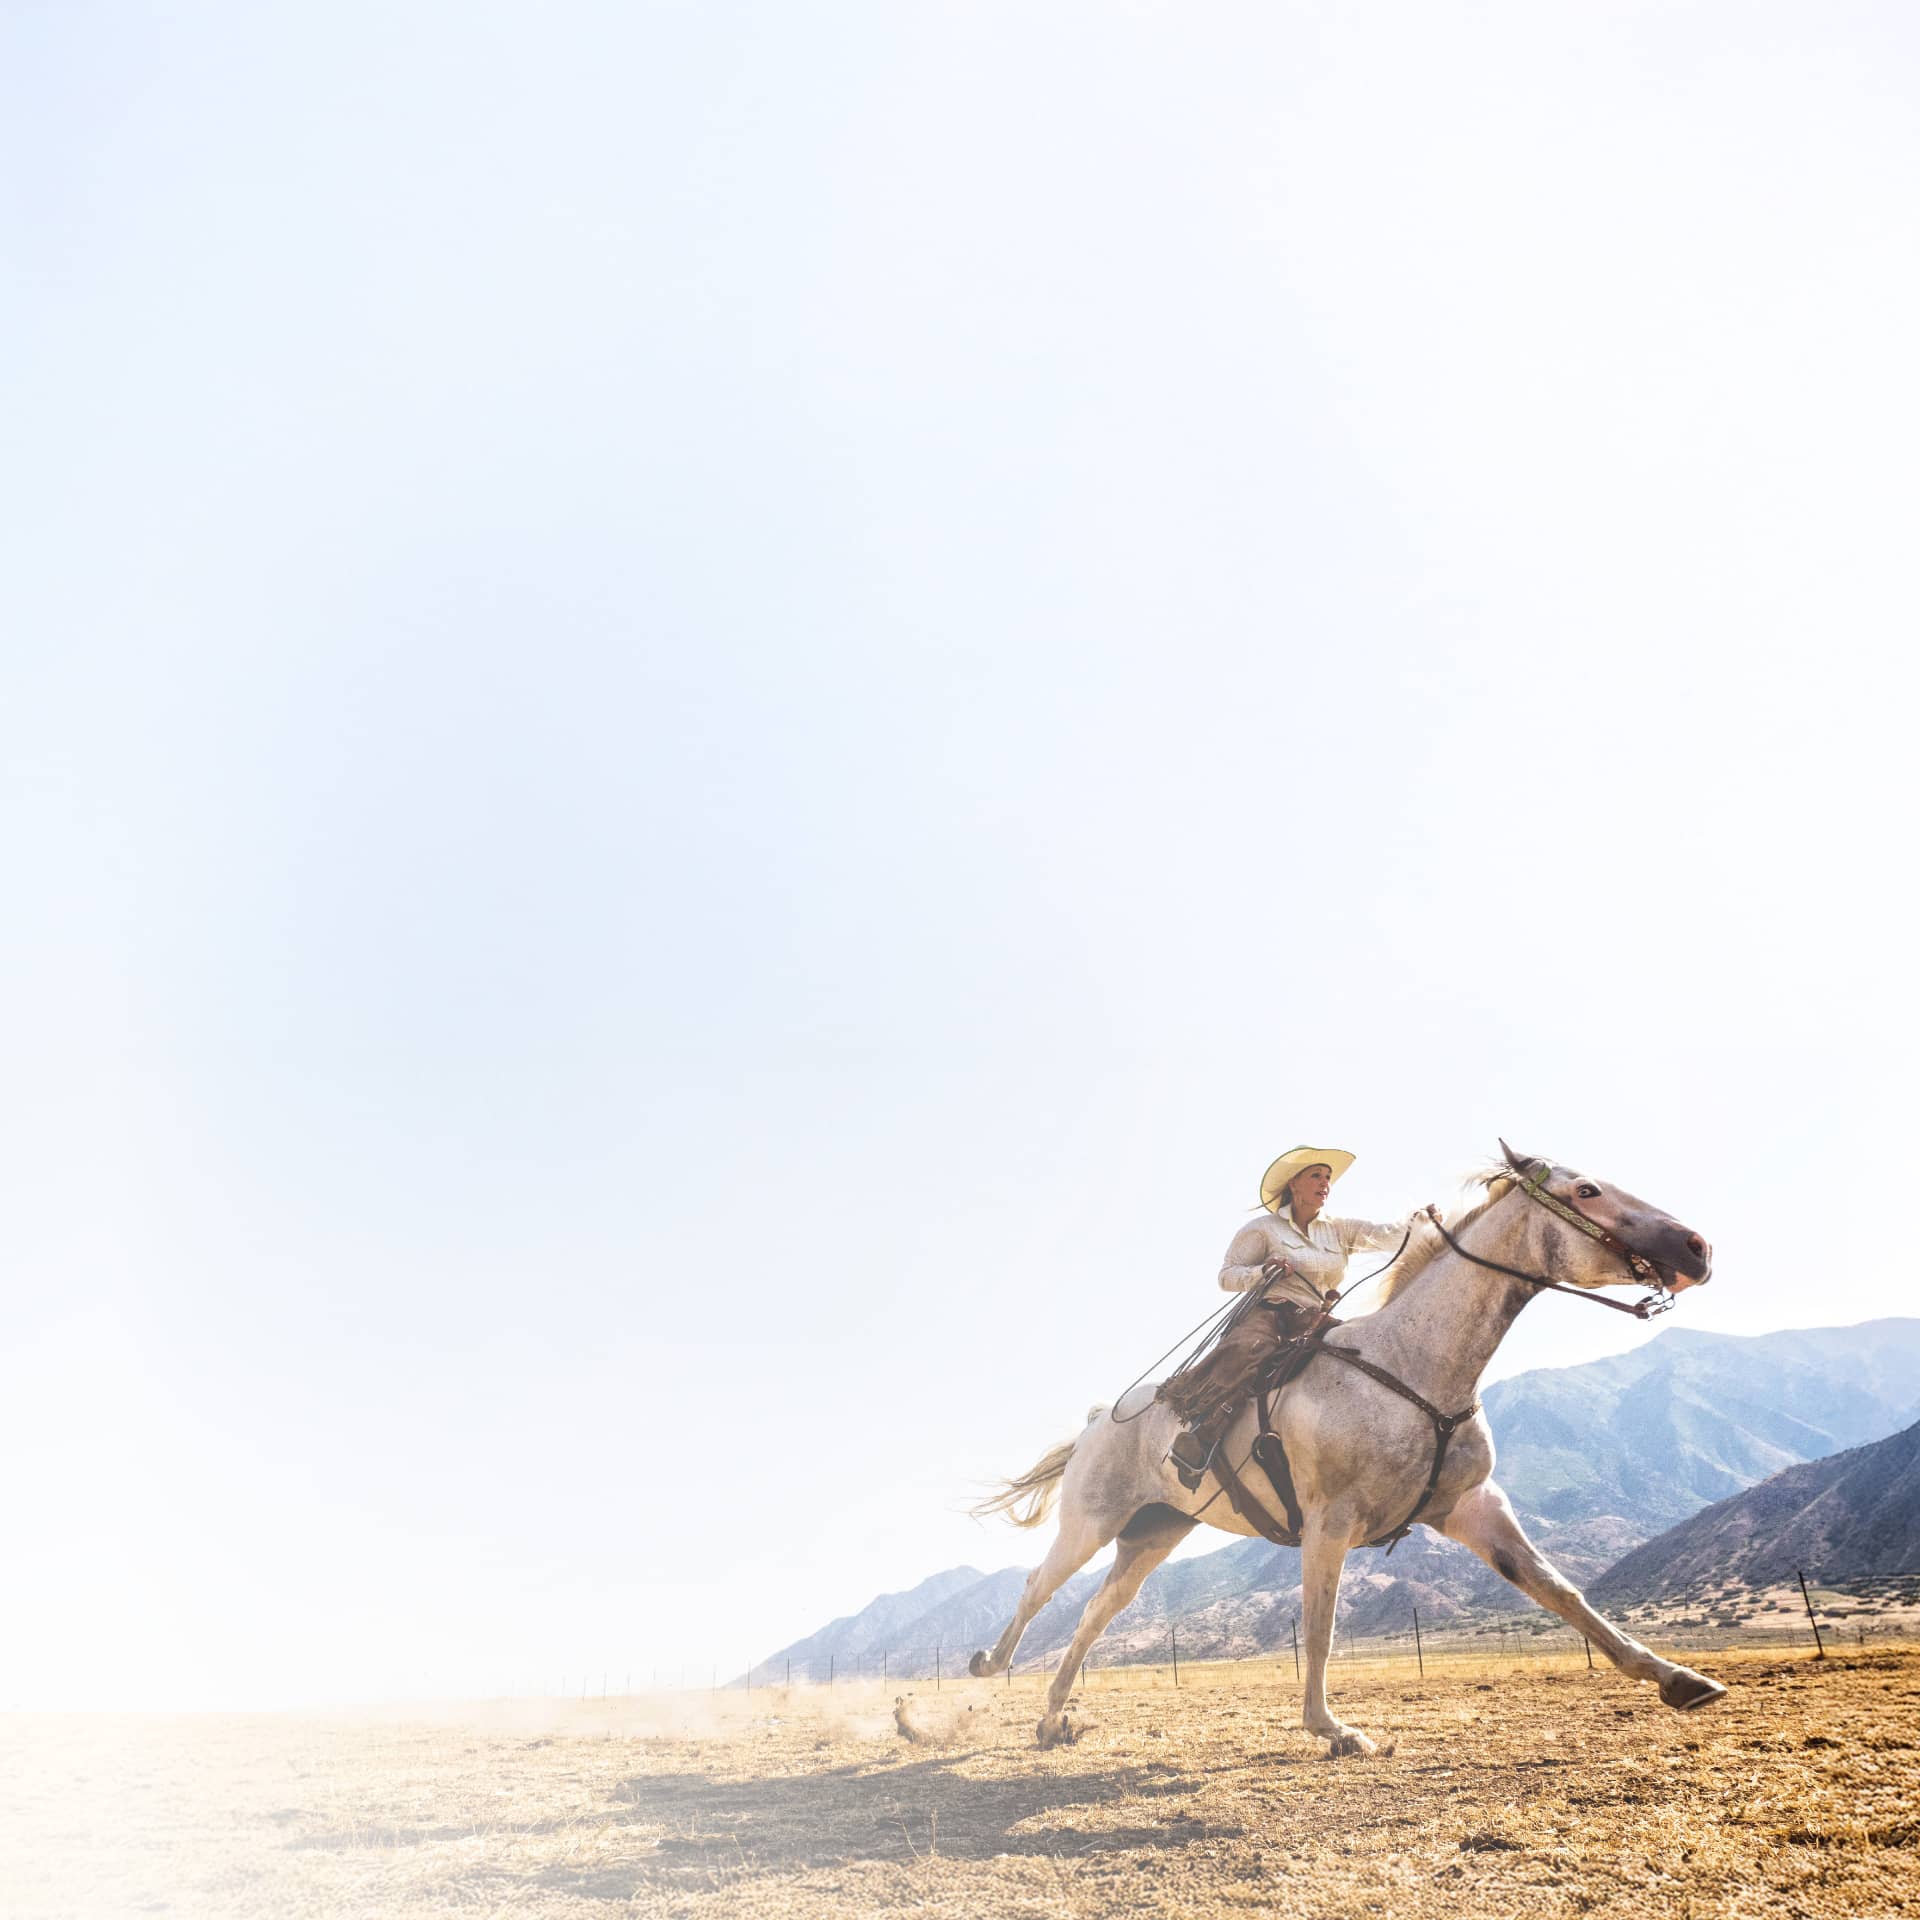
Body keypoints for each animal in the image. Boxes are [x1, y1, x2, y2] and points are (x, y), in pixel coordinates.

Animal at [969, 1144, 1723, 1753]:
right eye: (1588, 1191)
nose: (1697, 1247)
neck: (1413, 1366)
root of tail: (1101, 1418)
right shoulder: (1329, 1523)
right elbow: (1321, 1623)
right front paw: (1332, 1729)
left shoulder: (1472, 1506)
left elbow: (1558, 1589)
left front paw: (1678, 1677)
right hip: (1092, 1523)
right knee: (1040, 1589)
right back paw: (985, 1675)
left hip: (1154, 1534)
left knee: (1098, 1612)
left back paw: (1052, 1718)